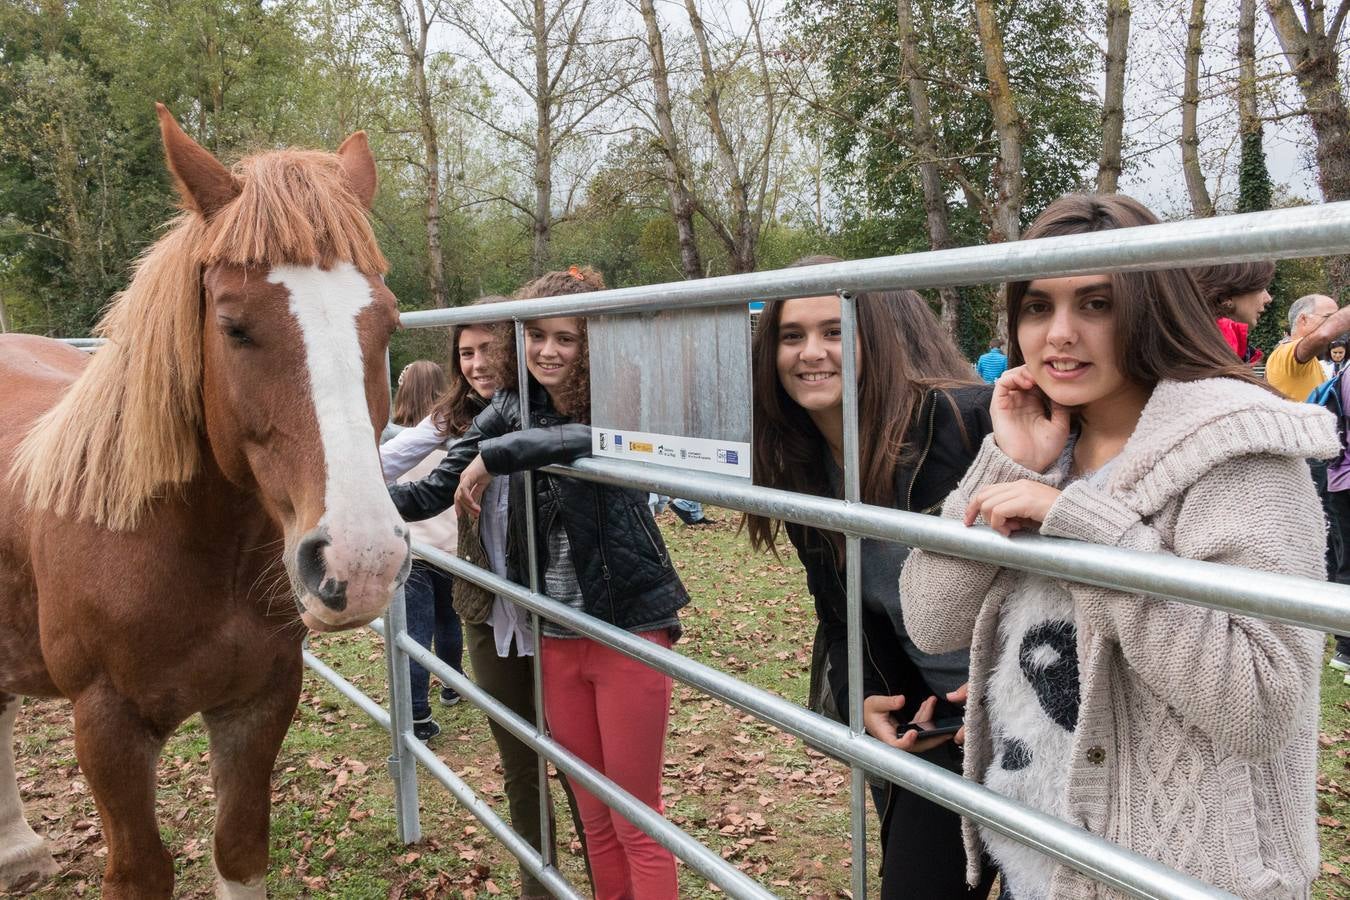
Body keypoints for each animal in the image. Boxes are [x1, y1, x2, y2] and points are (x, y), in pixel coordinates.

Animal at [0, 103, 410, 895]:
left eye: (388, 320)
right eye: (233, 325)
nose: (363, 561)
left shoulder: (257, 702)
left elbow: (239, 848)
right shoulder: (108, 729)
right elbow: (141, 872)